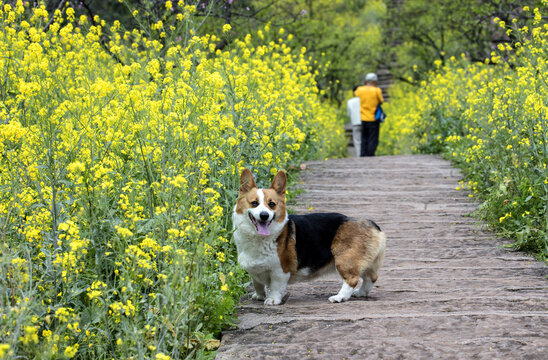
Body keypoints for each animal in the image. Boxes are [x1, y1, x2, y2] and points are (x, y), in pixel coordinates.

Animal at [231, 169, 386, 304]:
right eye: (254, 203)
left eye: (272, 204)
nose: (264, 215)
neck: (257, 238)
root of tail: (374, 226)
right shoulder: (254, 270)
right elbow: (257, 283)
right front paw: (259, 296)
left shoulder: (280, 270)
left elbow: (276, 286)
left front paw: (272, 300)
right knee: (371, 277)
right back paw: (360, 293)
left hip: (345, 259)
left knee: (352, 279)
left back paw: (339, 297)